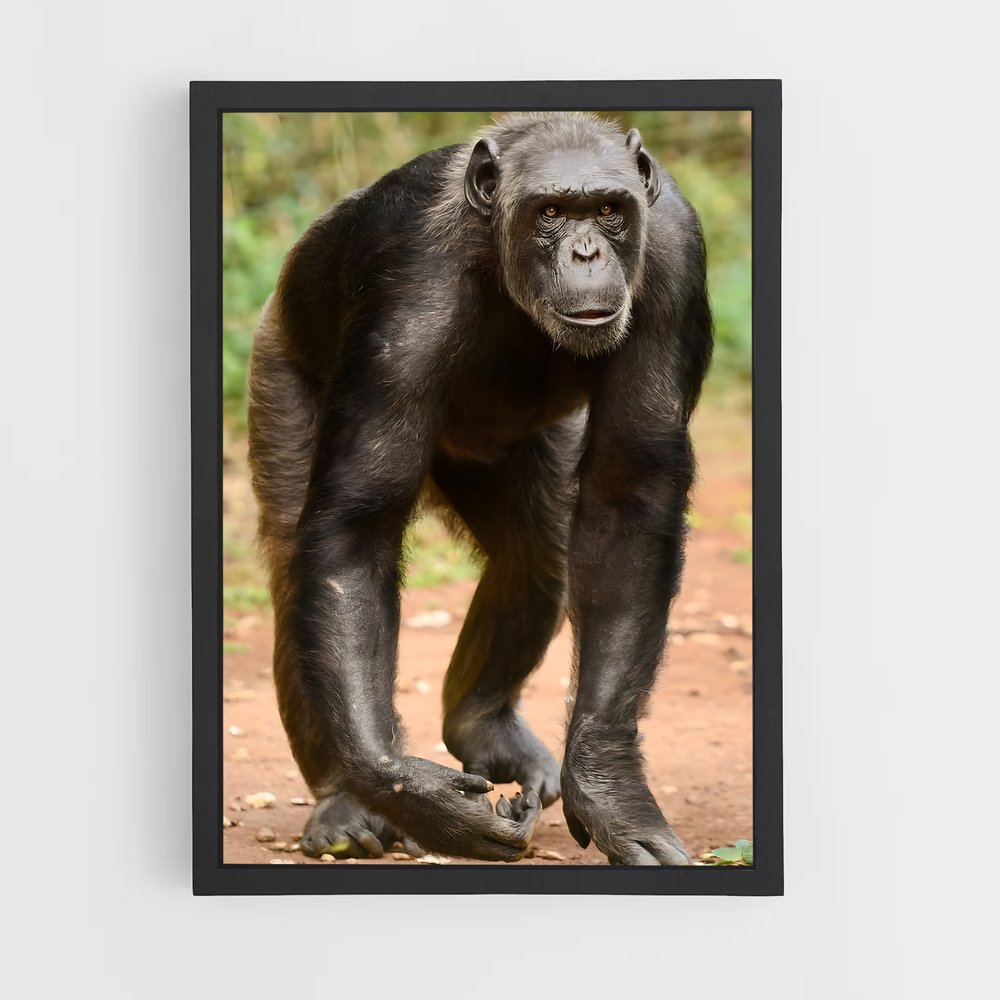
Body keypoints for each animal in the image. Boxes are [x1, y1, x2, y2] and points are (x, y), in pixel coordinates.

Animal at [247, 112, 713, 865]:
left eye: (609, 212)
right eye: (551, 213)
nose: (587, 252)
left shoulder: (674, 258)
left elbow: (627, 496)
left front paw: (611, 792)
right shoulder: (405, 284)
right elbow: (358, 524)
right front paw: (415, 796)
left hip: (518, 453)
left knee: (538, 554)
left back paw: (481, 726)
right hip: (277, 362)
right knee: (300, 569)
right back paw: (344, 802)